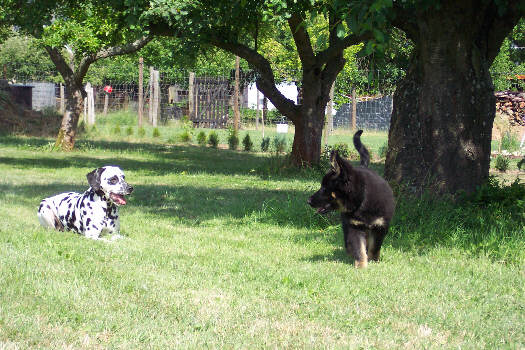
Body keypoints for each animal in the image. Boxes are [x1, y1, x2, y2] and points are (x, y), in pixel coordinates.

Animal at [308, 131, 392, 268]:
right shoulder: (354, 226)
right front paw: (361, 265)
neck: (362, 200)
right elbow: (359, 248)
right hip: (347, 222)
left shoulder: (380, 227)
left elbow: (375, 247)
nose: (308, 201)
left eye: (324, 188)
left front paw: (373, 261)